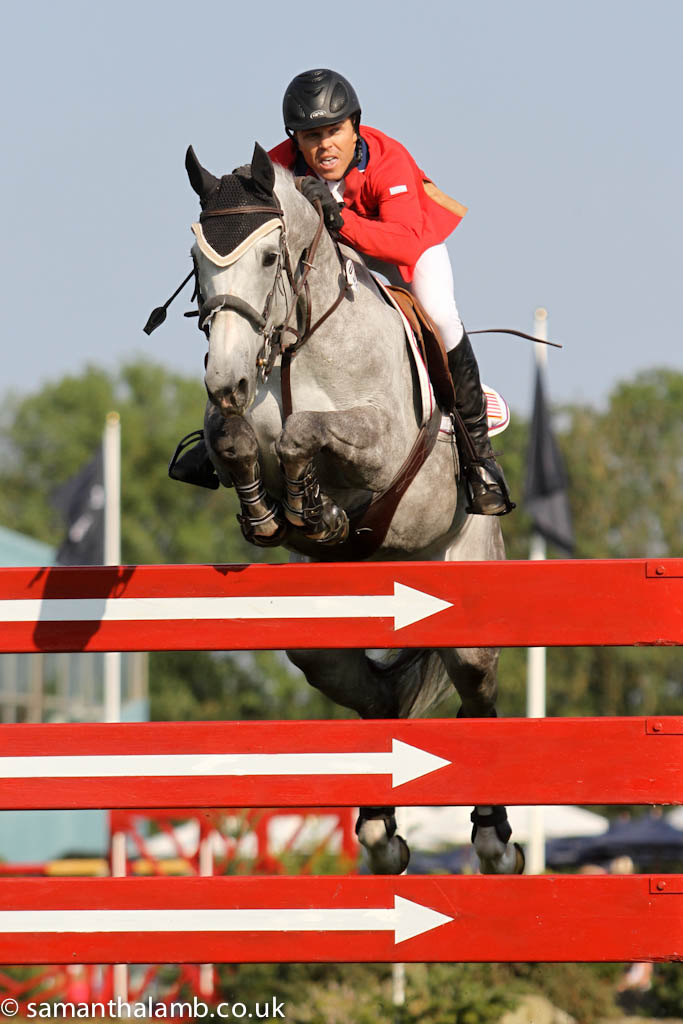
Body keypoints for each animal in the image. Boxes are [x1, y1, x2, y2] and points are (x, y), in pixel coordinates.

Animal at [180, 142, 524, 880]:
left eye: (268, 257)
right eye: (196, 260)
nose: (226, 381)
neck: (294, 341)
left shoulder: (383, 442)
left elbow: (301, 431)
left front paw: (313, 508)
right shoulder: (233, 425)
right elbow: (237, 440)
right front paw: (275, 515)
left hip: (463, 587)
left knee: (476, 687)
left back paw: (493, 839)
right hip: (321, 630)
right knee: (374, 696)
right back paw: (378, 831)